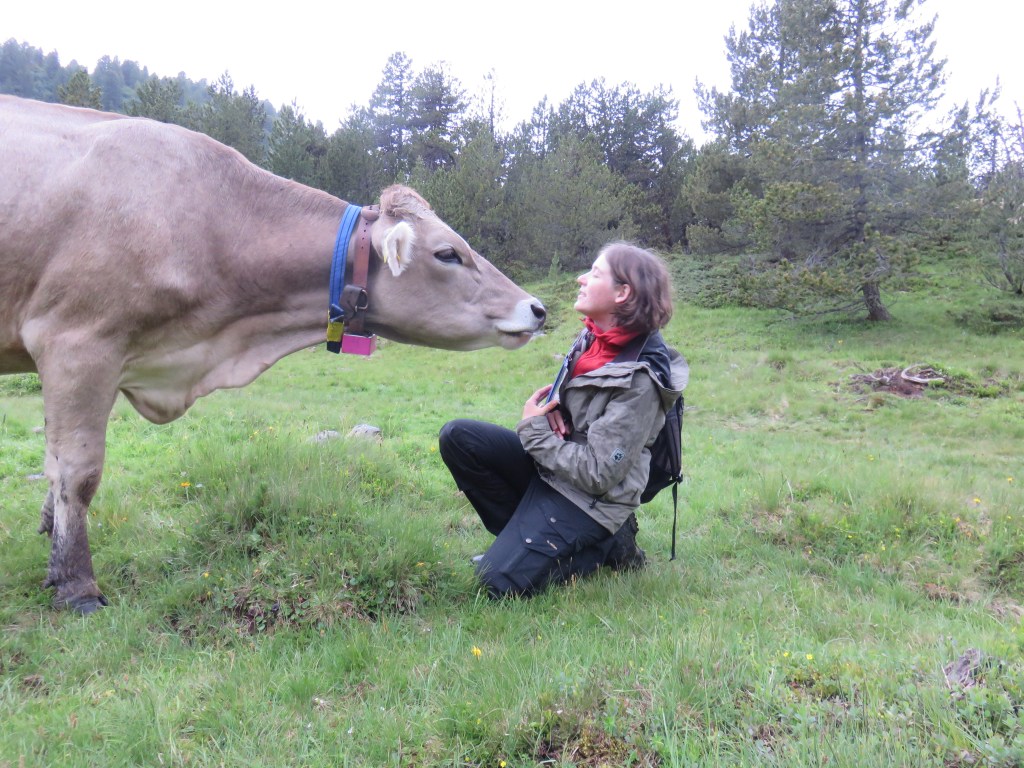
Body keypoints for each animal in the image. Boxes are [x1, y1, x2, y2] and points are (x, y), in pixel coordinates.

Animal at [0, 95, 546, 614]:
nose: (537, 308)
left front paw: (50, 533)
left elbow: (56, 460)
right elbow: (78, 469)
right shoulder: (77, 341)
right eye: (448, 253)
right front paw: (75, 583)